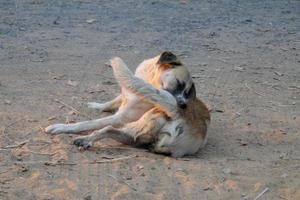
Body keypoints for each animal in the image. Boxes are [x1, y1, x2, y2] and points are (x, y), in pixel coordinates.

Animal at [71, 57, 210, 157]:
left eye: (186, 92)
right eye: (179, 84)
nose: (184, 105)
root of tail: (181, 115)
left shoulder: (120, 118)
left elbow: (87, 123)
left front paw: (66, 127)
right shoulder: (125, 96)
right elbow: (112, 102)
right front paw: (97, 106)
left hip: (138, 125)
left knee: (107, 129)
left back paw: (85, 139)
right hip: (138, 138)